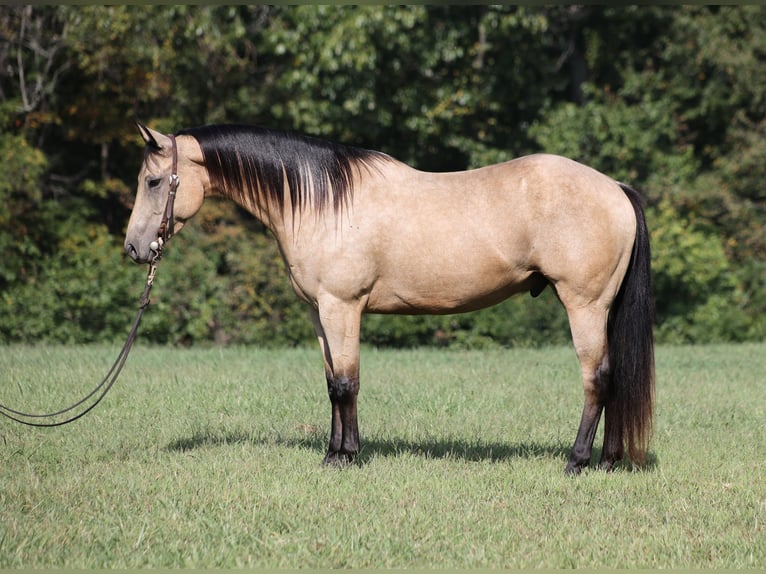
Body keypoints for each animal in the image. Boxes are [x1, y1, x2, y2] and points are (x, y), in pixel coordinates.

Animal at [125, 122, 655, 475]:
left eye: (153, 181)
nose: (134, 248)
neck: (323, 202)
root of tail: (616, 189)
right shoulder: (319, 314)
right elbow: (332, 382)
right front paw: (334, 452)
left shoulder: (343, 306)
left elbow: (347, 383)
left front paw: (347, 458)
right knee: (614, 378)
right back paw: (609, 461)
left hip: (585, 306)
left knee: (597, 379)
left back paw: (577, 461)